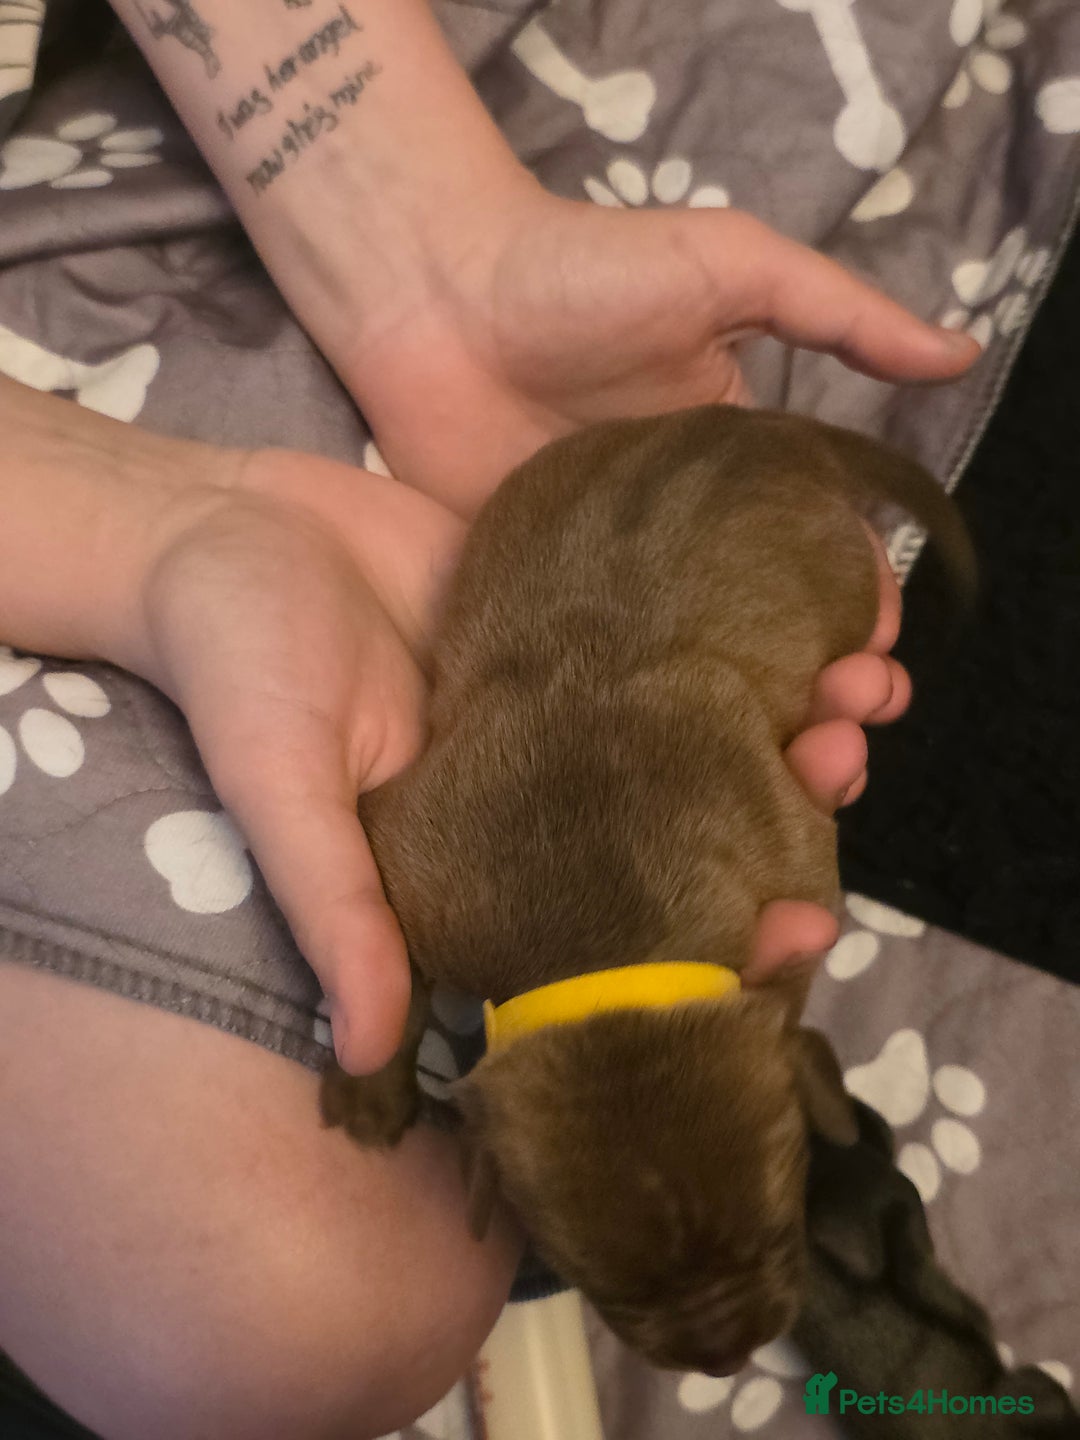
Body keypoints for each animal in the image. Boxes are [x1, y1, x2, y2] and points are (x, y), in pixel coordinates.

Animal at [320, 404, 975, 1375]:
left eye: (778, 1237)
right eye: (606, 1290)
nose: (724, 1360)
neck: (599, 942)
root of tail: (763, 426)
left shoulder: (797, 876)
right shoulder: (410, 856)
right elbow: (385, 967)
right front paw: (369, 1089)